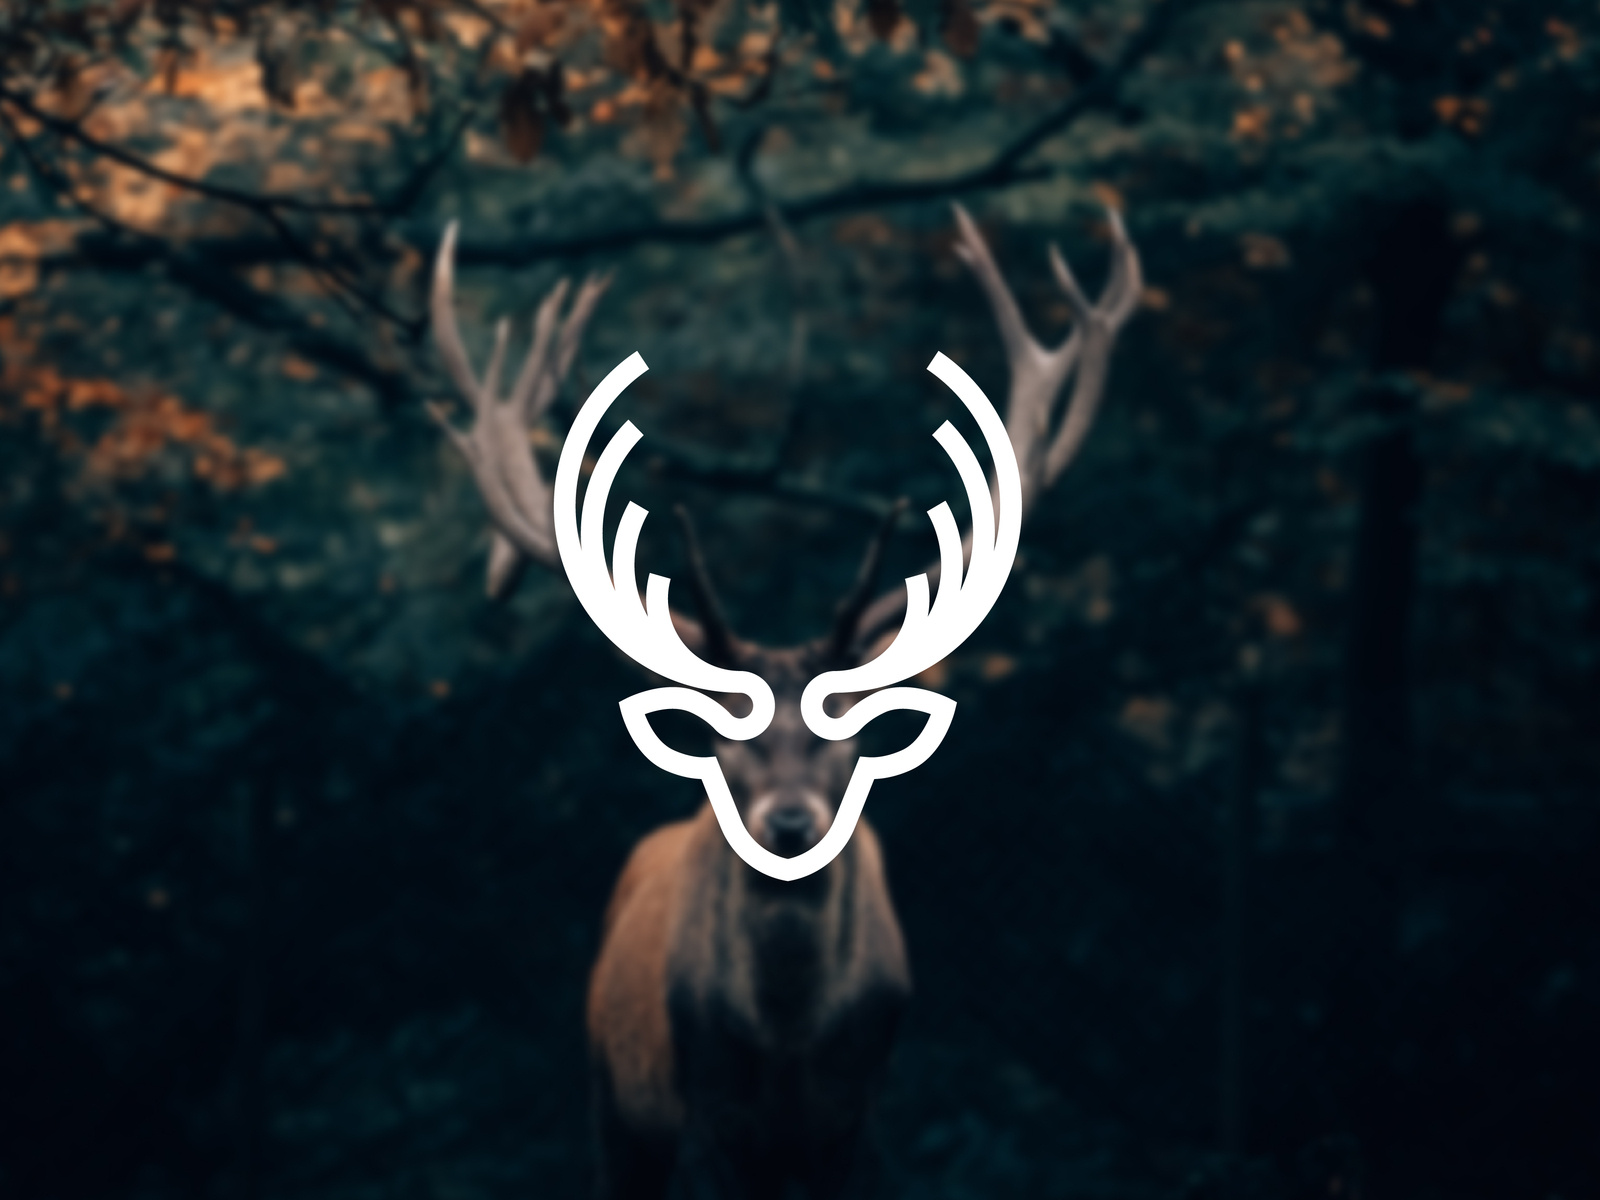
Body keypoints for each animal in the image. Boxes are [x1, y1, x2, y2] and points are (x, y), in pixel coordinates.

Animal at [425, 203, 1142, 1199]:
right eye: (726, 735)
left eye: (848, 731)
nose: (791, 821)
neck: (789, 1044)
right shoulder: (706, 1114)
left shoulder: (854, 1118)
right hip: (614, 1096)